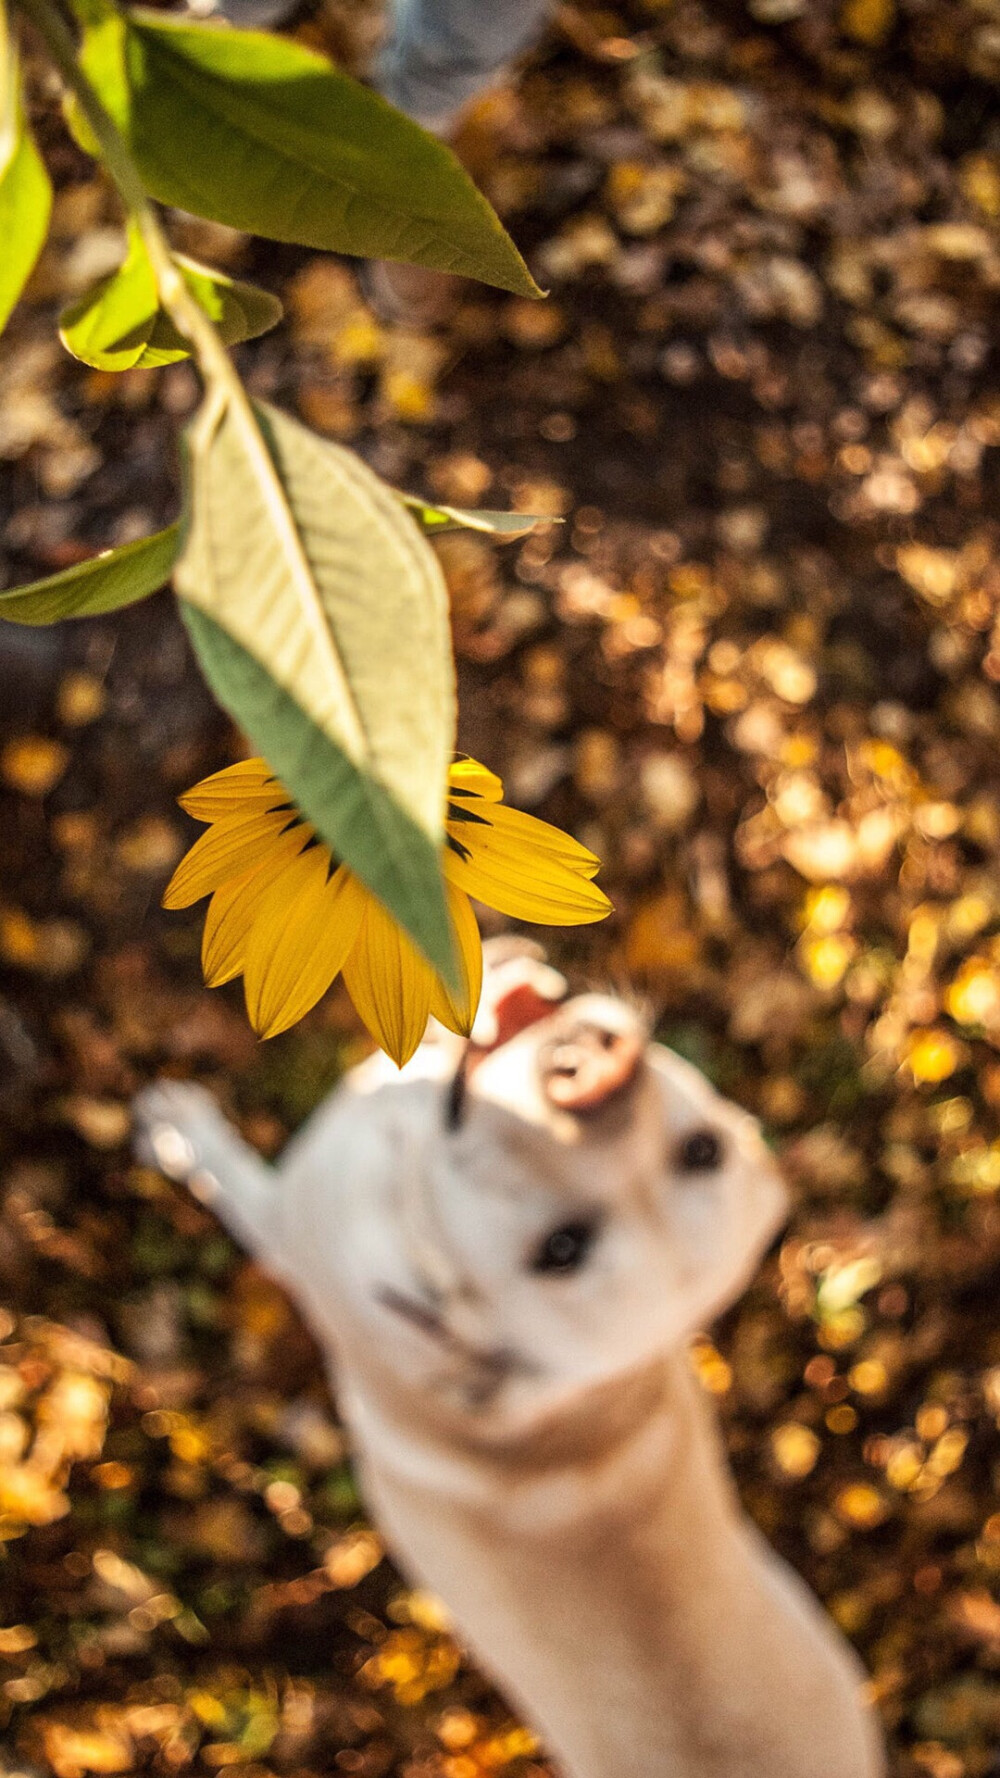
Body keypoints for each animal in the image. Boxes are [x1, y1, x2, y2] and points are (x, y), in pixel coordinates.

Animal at [136, 938, 882, 1770]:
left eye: (560, 1250)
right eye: (702, 1151)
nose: (596, 1080)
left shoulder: (284, 1221)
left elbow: (226, 1175)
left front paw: (176, 1129)